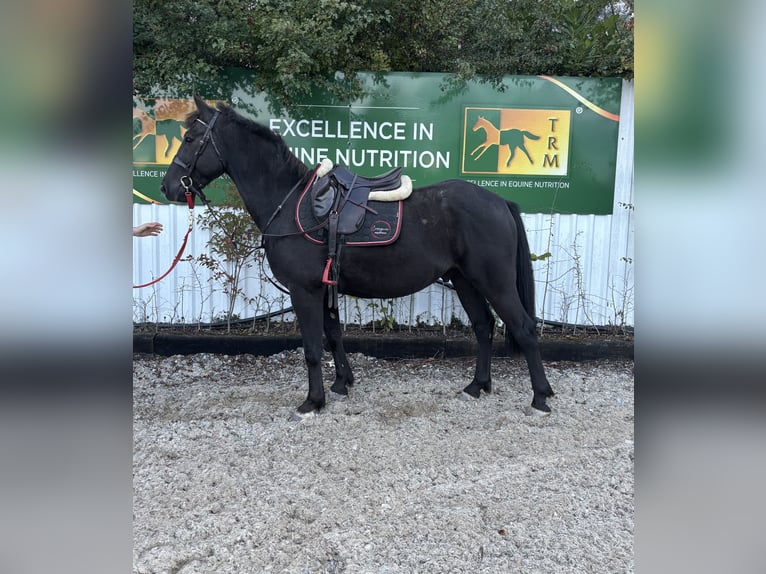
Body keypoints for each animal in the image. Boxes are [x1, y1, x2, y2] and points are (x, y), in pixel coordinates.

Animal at [160, 95, 555, 417]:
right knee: (483, 326)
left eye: (190, 139)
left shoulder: (304, 291)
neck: (291, 203)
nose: (168, 186)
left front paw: (313, 401)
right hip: (464, 279)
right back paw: (476, 386)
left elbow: (312, 348)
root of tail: (500, 201)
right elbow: (333, 335)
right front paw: (341, 384)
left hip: (494, 281)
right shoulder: (323, 288)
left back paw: (540, 398)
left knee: (523, 328)